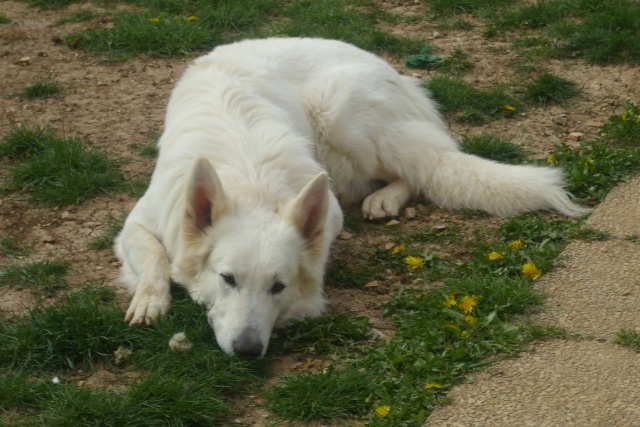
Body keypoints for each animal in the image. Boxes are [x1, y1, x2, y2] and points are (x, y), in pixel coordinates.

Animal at [112, 37, 588, 358]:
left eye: (277, 287)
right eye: (227, 279)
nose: (248, 350)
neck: (249, 178)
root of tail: (399, 75)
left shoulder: (330, 214)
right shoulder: (138, 222)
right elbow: (154, 258)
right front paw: (150, 301)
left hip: (338, 114)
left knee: (416, 172)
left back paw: (386, 200)